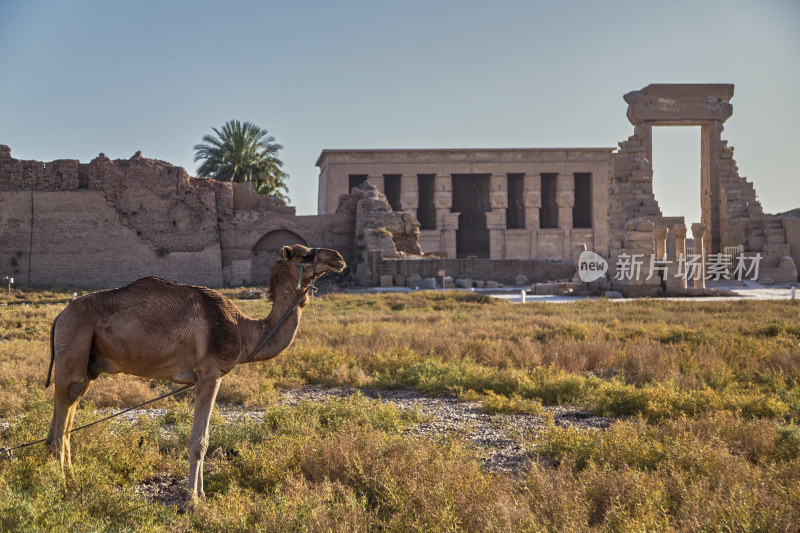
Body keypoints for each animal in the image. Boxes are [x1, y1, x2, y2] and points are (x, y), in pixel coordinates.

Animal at [43, 243, 344, 500]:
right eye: (305, 254)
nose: (338, 258)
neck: (244, 330)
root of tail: (60, 315)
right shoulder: (209, 374)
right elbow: (198, 441)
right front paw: (193, 500)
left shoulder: (205, 377)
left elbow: (204, 439)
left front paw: (200, 495)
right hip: (73, 347)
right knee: (60, 427)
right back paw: (62, 488)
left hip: (88, 366)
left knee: (64, 421)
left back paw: (71, 480)